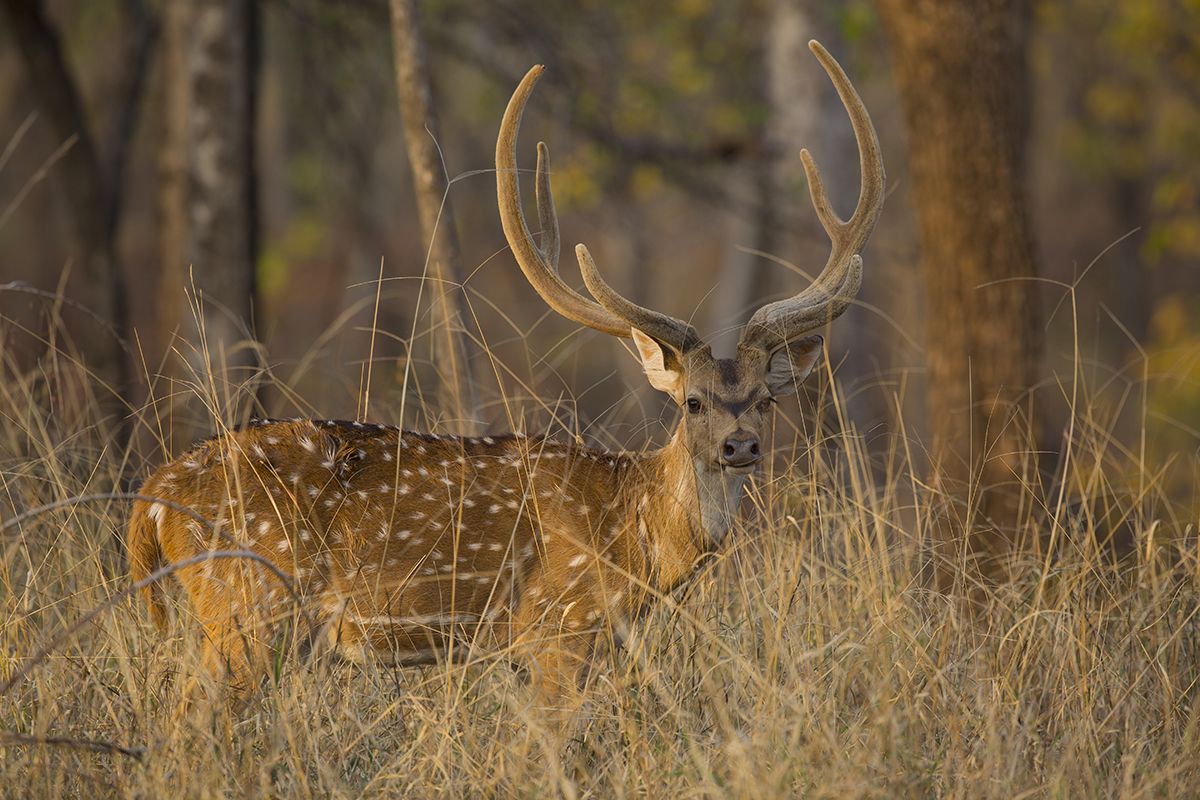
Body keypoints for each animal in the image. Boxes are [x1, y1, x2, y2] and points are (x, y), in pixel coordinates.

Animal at [129, 40, 883, 724]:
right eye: (692, 402)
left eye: (765, 400)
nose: (740, 446)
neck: (635, 535)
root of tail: (153, 496)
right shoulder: (559, 627)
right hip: (250, 602)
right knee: (185, 727)